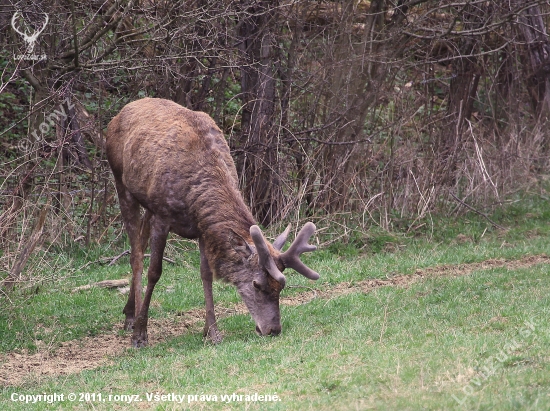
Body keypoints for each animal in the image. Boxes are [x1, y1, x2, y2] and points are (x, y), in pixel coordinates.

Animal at [106, 99, 322, 348]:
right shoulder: (163, 216)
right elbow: (155, 272)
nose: (273, 329)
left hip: (147, 203)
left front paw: (212, 332)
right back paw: (133, 319)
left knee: (139, 241)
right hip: (121, 181)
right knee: (136, 254)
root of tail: (120, 113)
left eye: (280, 288)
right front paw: (141, 335)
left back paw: (129, 310)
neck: (195, 199)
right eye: (257, 284)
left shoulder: (203, 228)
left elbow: (206, 274)